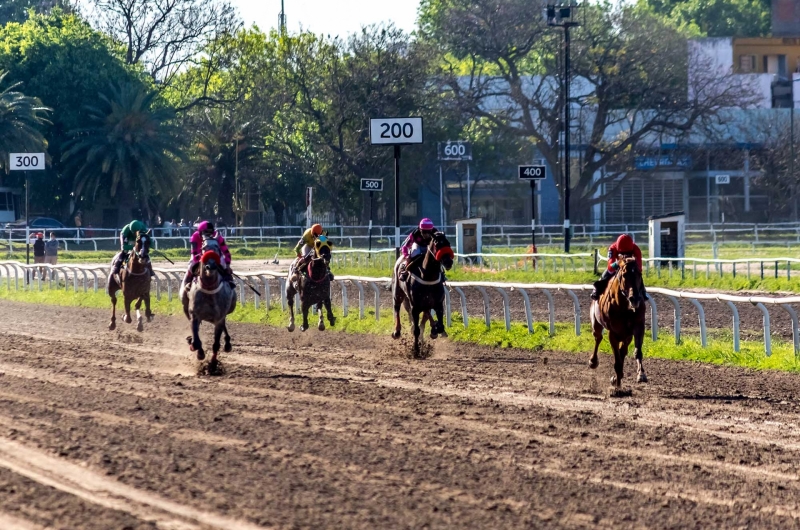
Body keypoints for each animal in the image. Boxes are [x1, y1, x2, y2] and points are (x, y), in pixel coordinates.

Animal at [592, 256, 648, 388]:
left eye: (639, 273)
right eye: (624, 275)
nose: (635, 299)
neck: (625, 306)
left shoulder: (638, 326)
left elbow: (637, 352)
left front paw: (641, 374)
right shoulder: (613, 333)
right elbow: (617, 361)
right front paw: (617, 386)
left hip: (626, 335)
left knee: (623, 351)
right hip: (596, 322)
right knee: (598, 337)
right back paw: (593, 362)